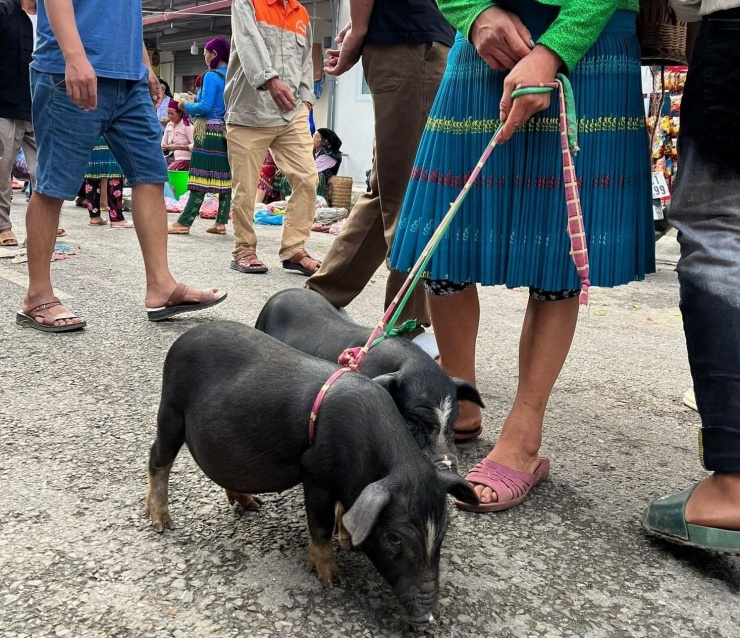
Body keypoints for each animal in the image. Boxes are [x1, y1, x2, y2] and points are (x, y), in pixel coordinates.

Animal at [147, 322, 476, 628]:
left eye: (442, 532)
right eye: (394, 538)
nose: (427, 618)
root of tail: (186, 336)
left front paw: (347, 540)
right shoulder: (315, 470)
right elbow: (320, 523)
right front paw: (332, 579)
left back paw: (252, 504)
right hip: (170, 409)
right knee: (158, 458)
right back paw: (162, 523)